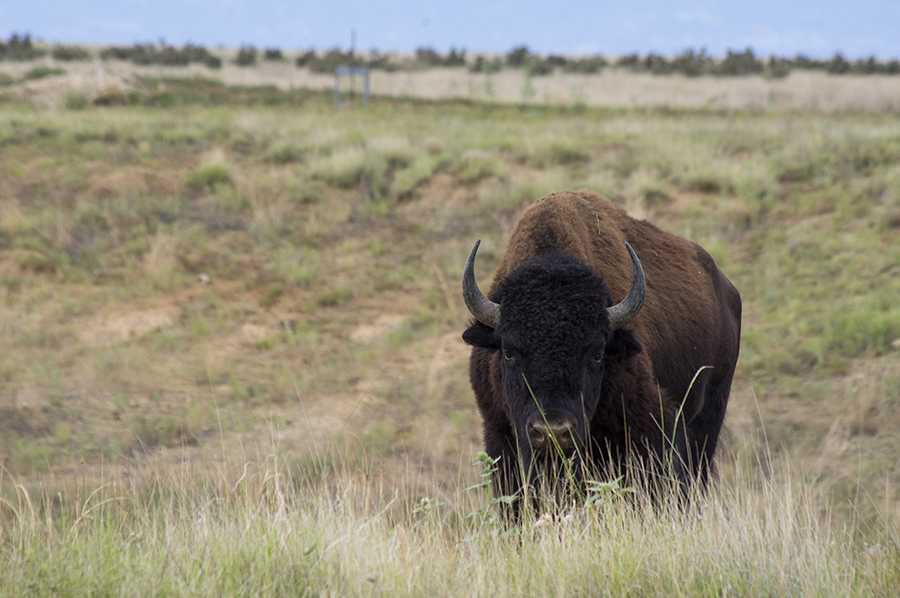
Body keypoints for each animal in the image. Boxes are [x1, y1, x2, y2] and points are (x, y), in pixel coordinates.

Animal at [460, 190, 740, 512]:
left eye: (596, 353)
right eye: (508, 350)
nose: (553, 431)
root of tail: (725, 288)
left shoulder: (654, 427)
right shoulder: (500, 434)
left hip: (708, 418)